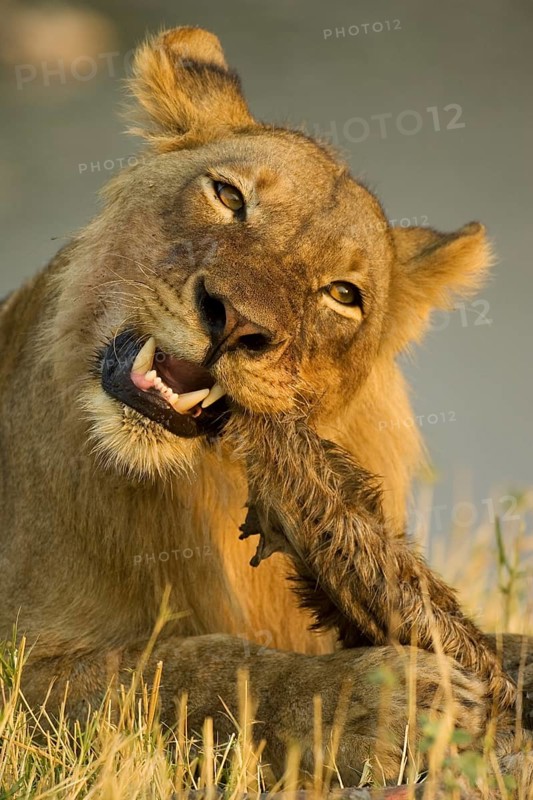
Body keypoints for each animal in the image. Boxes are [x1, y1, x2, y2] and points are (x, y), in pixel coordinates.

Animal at [0, 26, 531, 786]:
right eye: (228, 195)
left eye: (342, 294)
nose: (236, 321)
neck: (191, 487)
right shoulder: (21, 663)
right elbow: (181, 671)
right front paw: (380, 701)